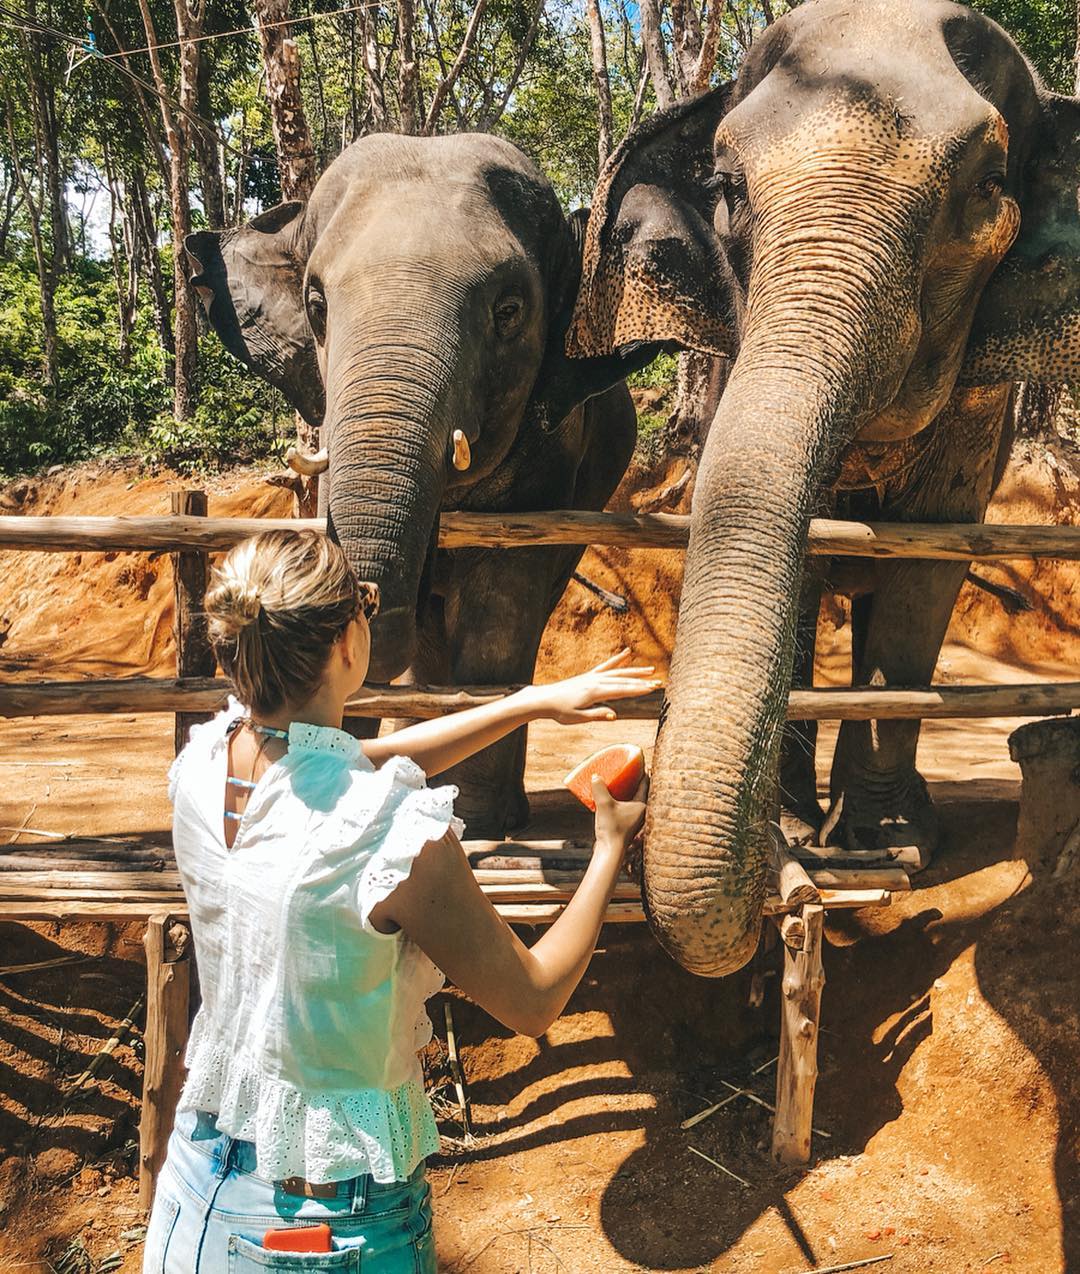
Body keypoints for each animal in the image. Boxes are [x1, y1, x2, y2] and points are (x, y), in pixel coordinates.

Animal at [185, 133, 649, 834]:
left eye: (509, 311)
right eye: (317, 307)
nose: (370, 600)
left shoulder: (556, 456)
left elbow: (500, 603)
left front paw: (481, 822)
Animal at [568, 0, 1080, 975]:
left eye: (990, 184)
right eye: (726, 185)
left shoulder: (978, 412)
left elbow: (930, 564)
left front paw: (886, 848)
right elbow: (796, 572)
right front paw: (797, 832)